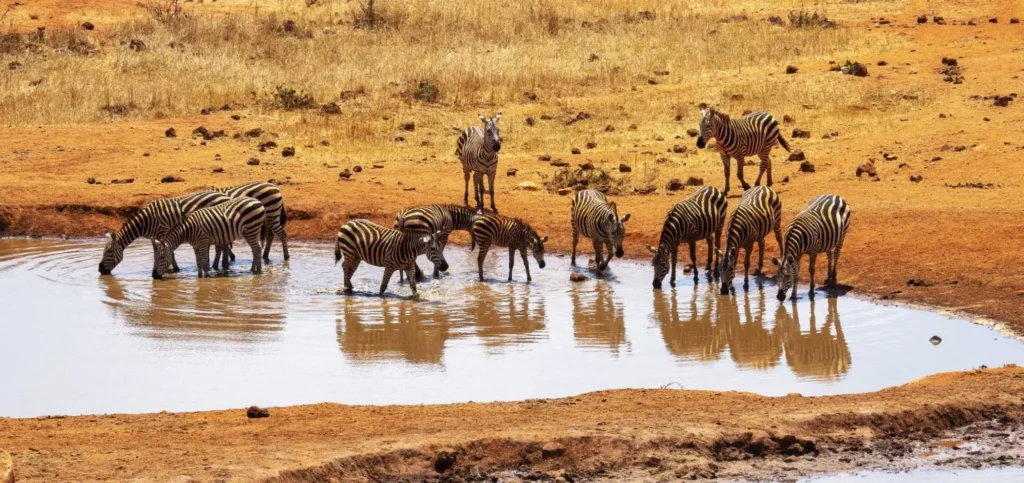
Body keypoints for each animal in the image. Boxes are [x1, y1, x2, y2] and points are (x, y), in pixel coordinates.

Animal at [99, 190, 232, 279]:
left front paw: (172, 269)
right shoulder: (154, 237)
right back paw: (223, 264)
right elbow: (159, 251)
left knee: (221, 246)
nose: (100, 269)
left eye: (109, 252)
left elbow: (169, 252)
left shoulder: (163, 232)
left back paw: (220, 265)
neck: (146, 221)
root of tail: (225, 195)